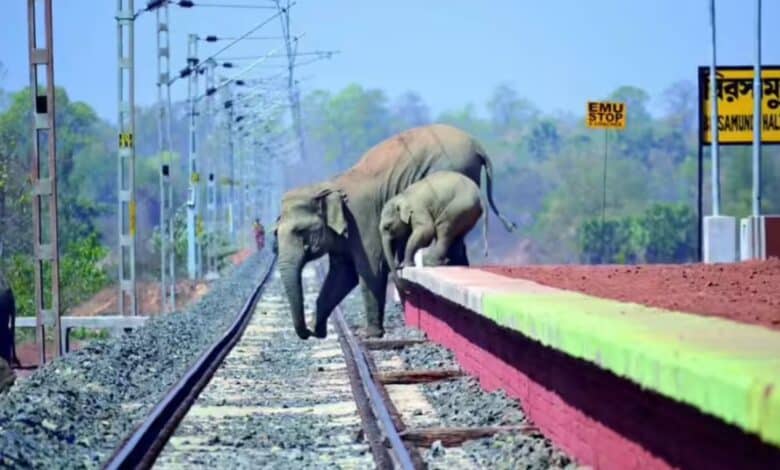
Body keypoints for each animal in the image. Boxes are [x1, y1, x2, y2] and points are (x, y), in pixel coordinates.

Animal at [275, 123, 516, 340]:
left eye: (300, 231)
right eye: (275, 233)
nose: (310, 333)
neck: (328, 186)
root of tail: (477, 145)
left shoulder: (362, 220)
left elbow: (370, 270)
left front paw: (370, 335)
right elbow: (341, 274)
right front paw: (321, 329)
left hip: (453, 170)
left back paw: (434, 262)